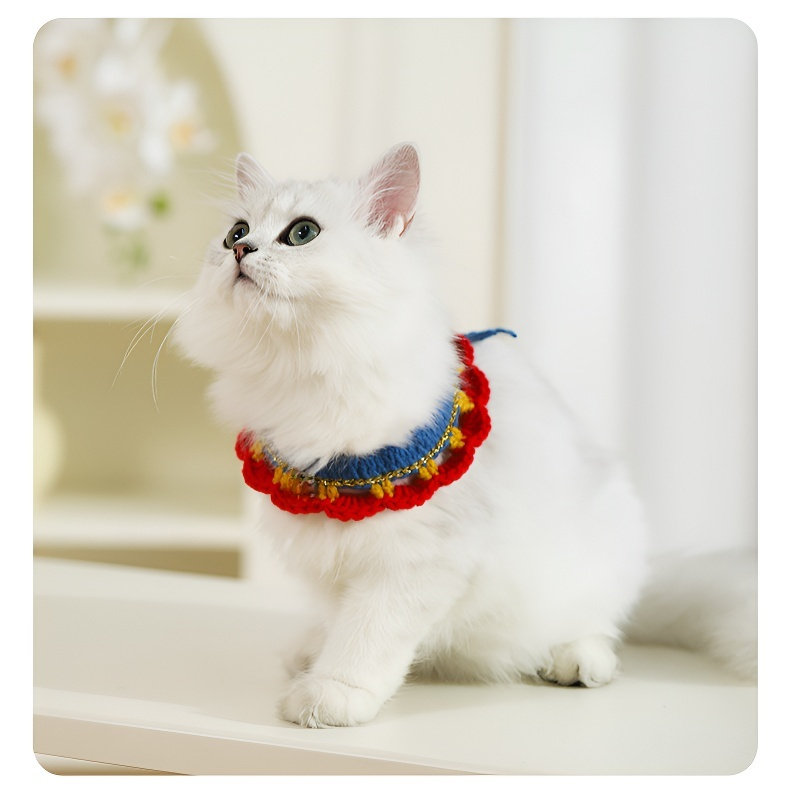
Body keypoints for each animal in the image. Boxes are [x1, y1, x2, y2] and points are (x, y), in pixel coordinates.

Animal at [174, 143, 756, 728]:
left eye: (301, 233)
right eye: (235, 232)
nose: (240, 250)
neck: (302, 371)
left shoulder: (420, 555)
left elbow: (367, 635)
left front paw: (330, 696)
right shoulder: (331, 550)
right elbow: (339, 619)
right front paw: (317, 659)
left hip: (605, 547)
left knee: (597, 627)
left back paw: (575, 661)